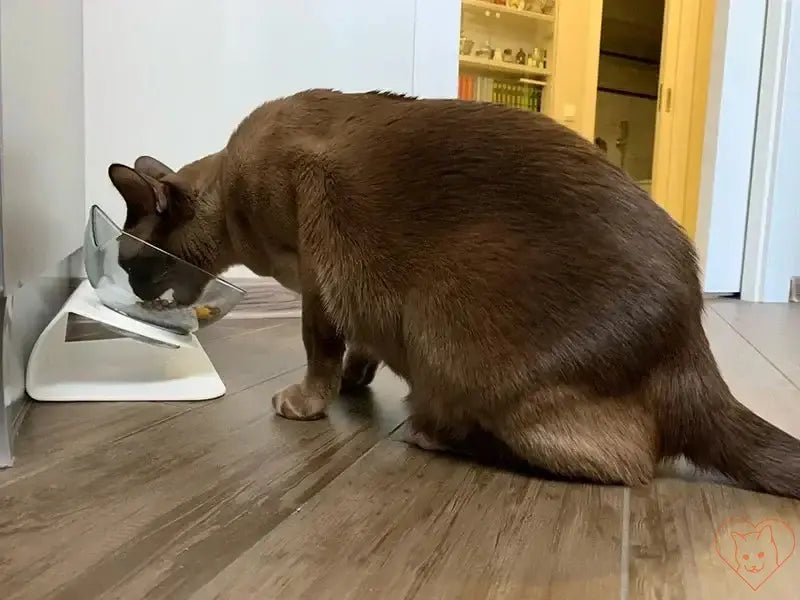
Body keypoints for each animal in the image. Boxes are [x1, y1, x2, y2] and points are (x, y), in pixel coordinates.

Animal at [108, 88, 800, 496]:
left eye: (132, 265)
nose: (133, 294)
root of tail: (691, 338)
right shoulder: (341, 286)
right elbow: (357, 349)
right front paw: (356, 382)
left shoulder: (318, 270)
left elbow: (318, 350)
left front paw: (304, 404)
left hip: (445, 317)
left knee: (625, 465)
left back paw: (429, 433)